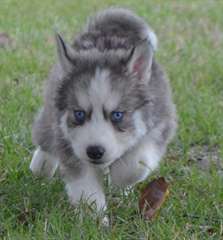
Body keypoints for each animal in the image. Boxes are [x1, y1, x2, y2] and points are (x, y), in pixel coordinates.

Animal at [29, 7, 177, 212]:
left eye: (117, 115)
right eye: (79, 114)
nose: (94, 151)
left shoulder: (160, 125)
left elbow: (136, 164)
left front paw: (120, 182)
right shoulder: (70, 146)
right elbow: (87, 191)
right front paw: (96, 218)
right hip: (51, 114)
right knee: (44, 137)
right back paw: (41, 165)